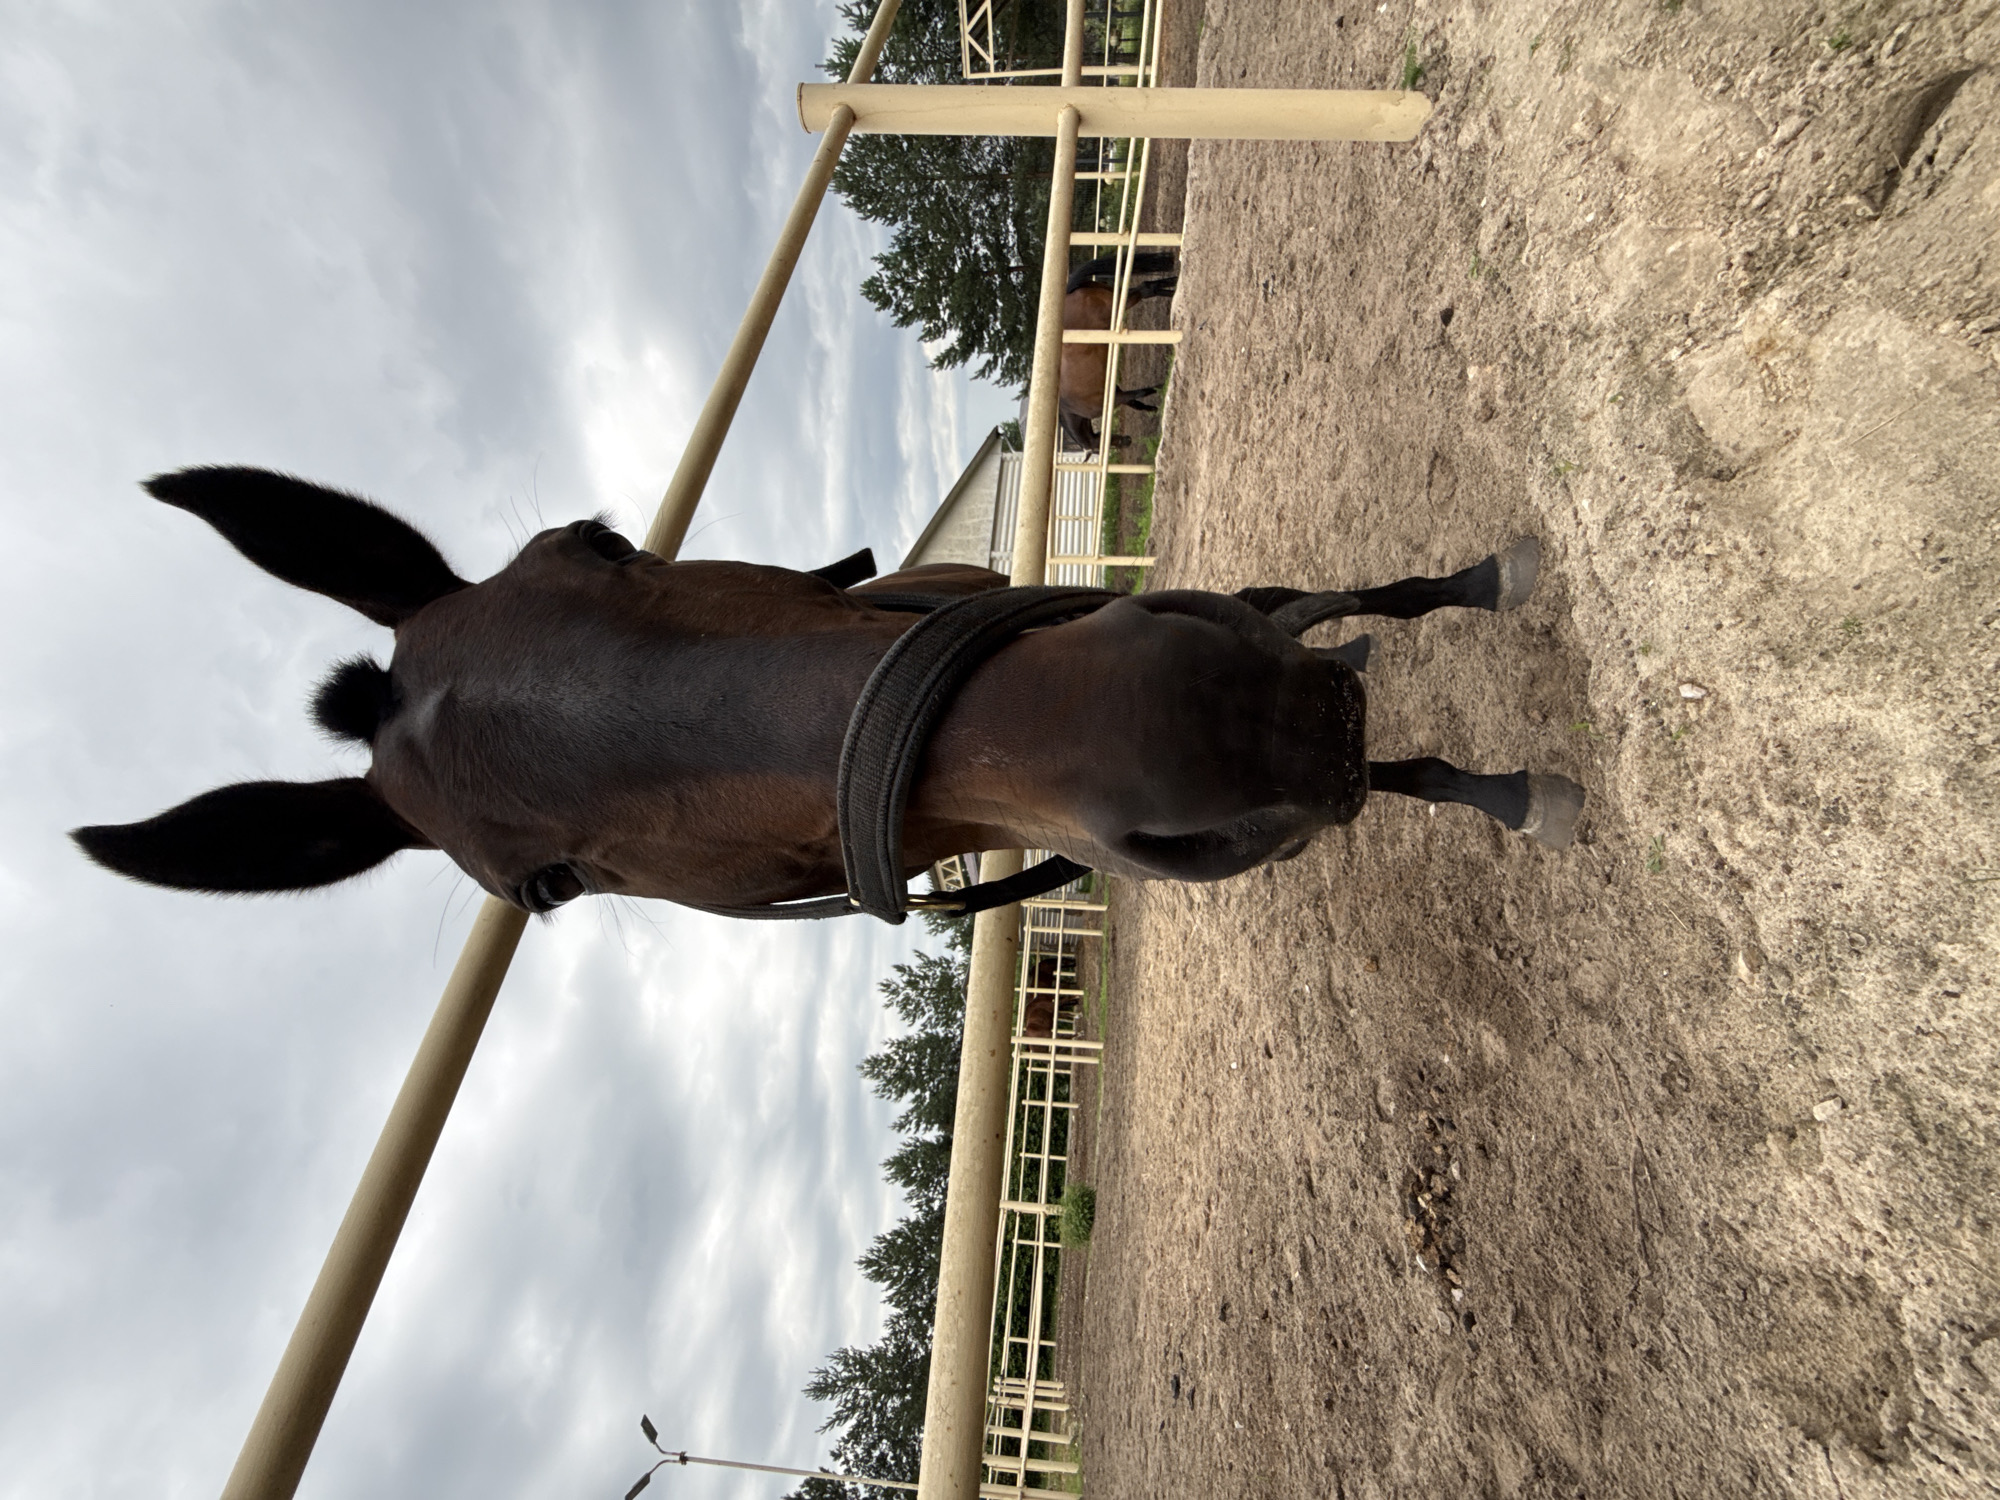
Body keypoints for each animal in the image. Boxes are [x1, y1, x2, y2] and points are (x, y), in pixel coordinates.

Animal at [72, 467, 1584, 915]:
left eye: (601, 542)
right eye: (546, 889)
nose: (1204, 729)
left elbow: (1359, 616)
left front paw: (1494, 594)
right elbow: (1386, 757)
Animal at [1059, 252, 1177, 454]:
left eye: (1097, 449)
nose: (1126, 441)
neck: (1071, 407)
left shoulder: (1117, 397)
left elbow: (1141, 393)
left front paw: (1161, 387)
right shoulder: (1117, 391)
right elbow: (1137, 402)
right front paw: (1153, 408)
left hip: (1118, 304)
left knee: (1146, 288)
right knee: (1148, 288)